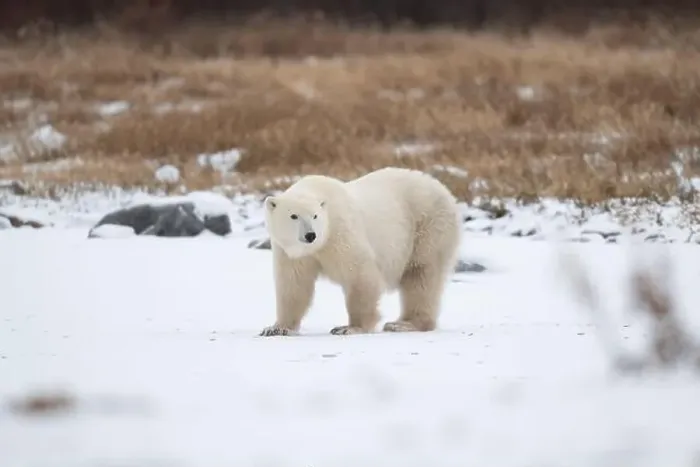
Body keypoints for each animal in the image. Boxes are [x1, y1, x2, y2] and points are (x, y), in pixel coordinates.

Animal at [259, 167, 462, 337]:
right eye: (293, 216)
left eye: (315, 216)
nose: (310, 235)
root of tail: (445, 191)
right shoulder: (291, 253)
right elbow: (294, 285)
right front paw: (276, 328)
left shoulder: (340, 233)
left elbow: (359, 274)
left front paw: (349, 328)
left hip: (427, 226)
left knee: (420, 274)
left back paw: (404, 324)